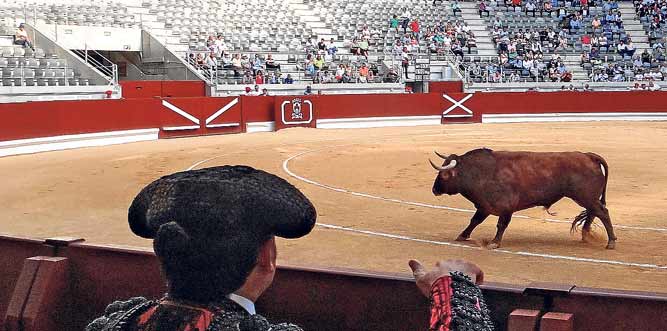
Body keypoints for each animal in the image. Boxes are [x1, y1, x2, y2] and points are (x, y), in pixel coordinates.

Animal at [430, 149, 620, 250]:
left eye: (444, 175)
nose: (434, 190)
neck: (481, 173)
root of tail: (588, 156)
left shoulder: (506, 207)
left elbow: (501, 225)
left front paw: (494, 243)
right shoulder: (484, 207)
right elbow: (474, 221)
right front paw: (462, 236)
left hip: (585, 196)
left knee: (602, 212)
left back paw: (610, 242)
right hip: (588, 198)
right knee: (593, 213)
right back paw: (586, 235)